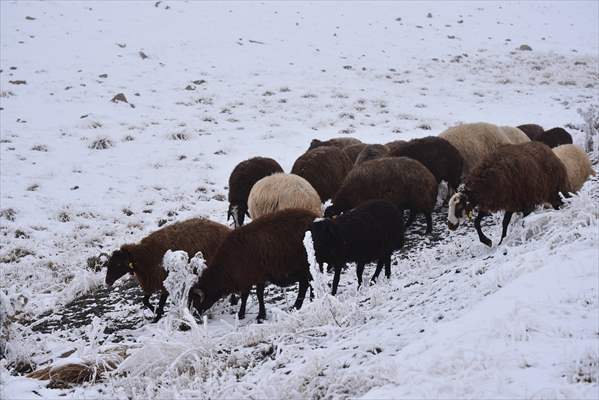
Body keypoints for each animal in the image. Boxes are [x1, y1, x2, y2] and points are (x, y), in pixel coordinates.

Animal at [189, 208, 322, 320]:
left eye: (196, 301)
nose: (194, 317)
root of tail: (316, 217)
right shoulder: (251, 278)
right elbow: (249, 295)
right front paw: (246, 314)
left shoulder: (255, 276)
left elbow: (254, 295)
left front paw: (256, 316)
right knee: (306, 284)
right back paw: (300, 305)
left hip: (305, 266)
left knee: (307, 284)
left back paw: (305, 303)